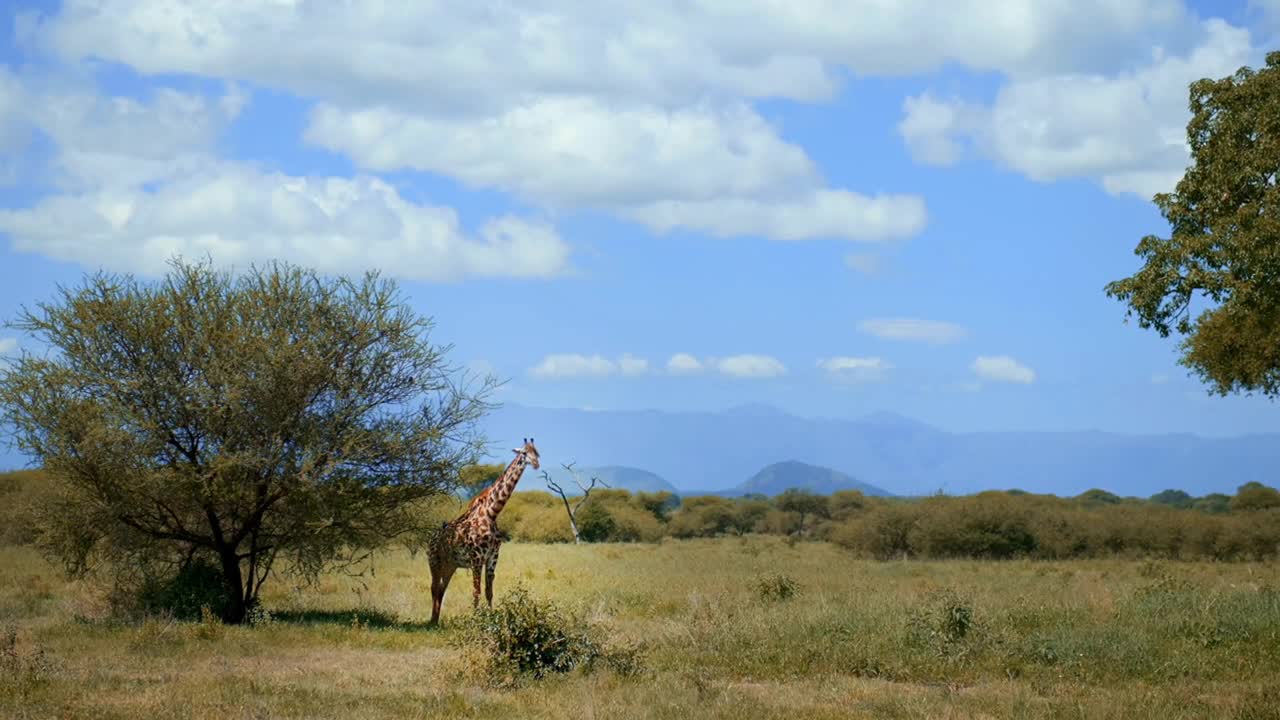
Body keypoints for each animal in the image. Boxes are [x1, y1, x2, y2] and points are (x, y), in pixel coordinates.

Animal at [422, 430, 537, 622]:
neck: (491, 513)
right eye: (523, 453)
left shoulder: (492, 557)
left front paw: (490, 618)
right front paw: (476, 620)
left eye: (537, 452)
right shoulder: (476, 558)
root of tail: (431, 538)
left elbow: (488, 591)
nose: (536, 463)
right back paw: (431, 621)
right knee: (433, 587)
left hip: (450, 565)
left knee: (441, 589)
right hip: (434, 561)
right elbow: (476, 592)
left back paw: (436, 620)